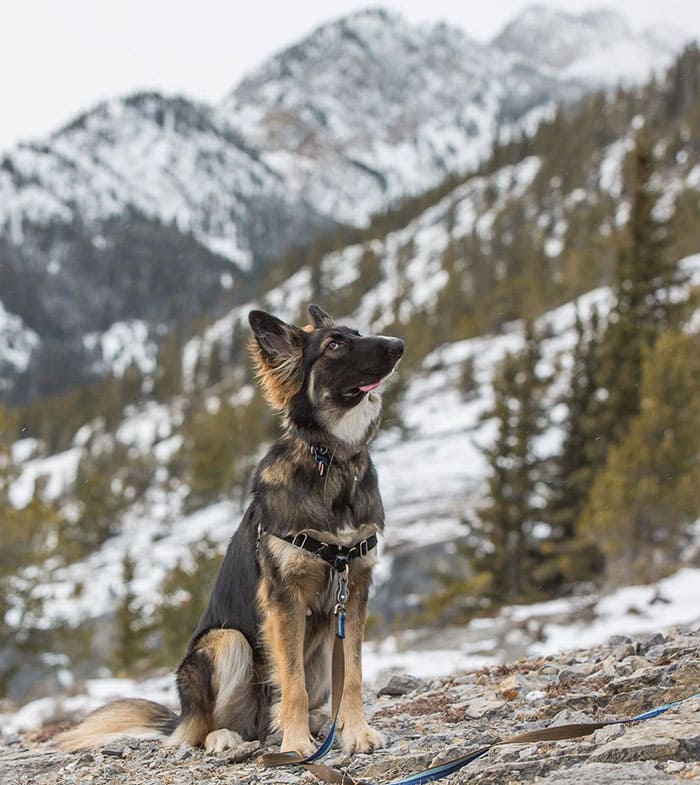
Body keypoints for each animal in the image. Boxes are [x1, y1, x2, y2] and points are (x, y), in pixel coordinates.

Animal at [58, 304, 404, 756]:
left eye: (358, 333)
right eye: (333, 345)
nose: (399, 344)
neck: (332, 462)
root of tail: (181, 718)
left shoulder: (355, 589)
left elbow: (354, 675)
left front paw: (356, 731)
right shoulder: (285, 597)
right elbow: (292, 682)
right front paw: (296, 744)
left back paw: (315, 722)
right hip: (225, 642)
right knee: (212, 725)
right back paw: (232, 734)